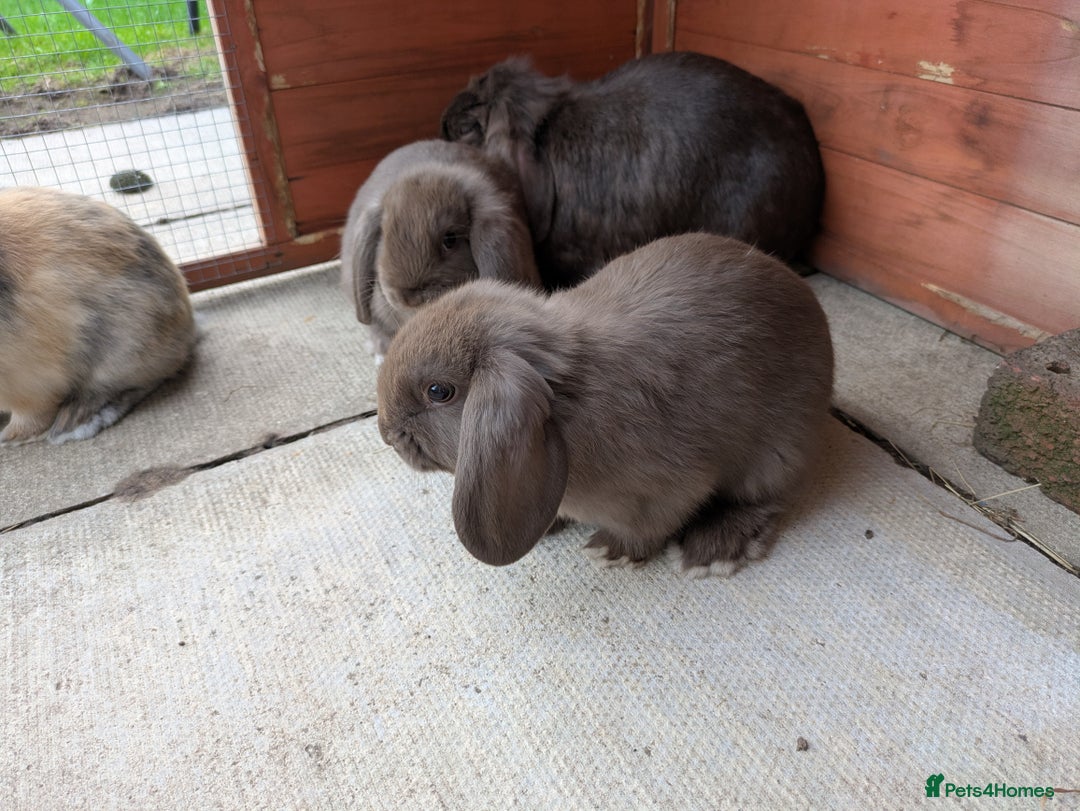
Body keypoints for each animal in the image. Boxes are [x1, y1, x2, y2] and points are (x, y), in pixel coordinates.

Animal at [0, 186, 195, 445]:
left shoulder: (28, 375)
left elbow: (32, 412)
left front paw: (12, 437)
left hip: (123, 349)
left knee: (138, 384)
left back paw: (74, 421)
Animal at [376, 233, 834, 577]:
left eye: (439, 391)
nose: (386, 434)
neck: (567, 401)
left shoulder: (671, 486)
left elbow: (655, 523)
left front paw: (611, 550)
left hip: (776, 453)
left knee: (762, 498)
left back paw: (713, 550)